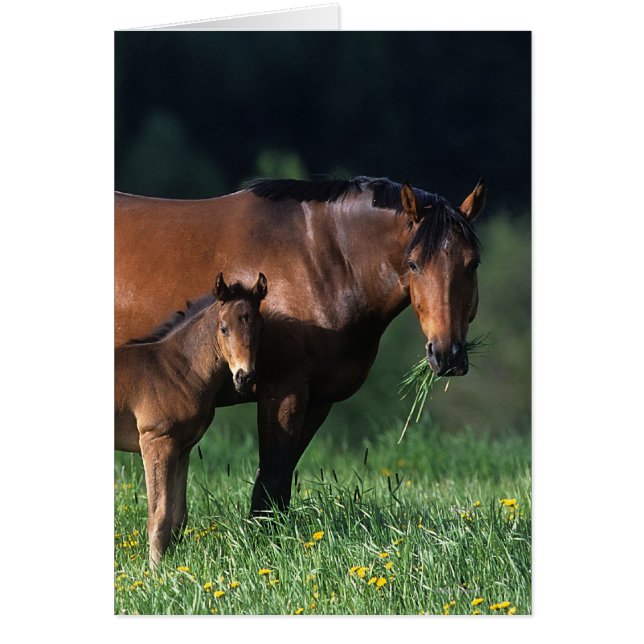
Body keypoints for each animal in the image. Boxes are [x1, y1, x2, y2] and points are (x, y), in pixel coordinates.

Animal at [115, 176, 485, 516]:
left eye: (473, 263)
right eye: (413, 264)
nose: (447, 354)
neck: (322, 259)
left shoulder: (318, 399)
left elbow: (280, 483)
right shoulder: (283, 389)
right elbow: (272, 478)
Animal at [115, 272, 267, 564]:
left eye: (260, 328)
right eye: (223, 328)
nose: (245, 377)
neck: (176, 368)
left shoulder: (182, 449)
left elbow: (178, 516)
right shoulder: (157, 442)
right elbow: (159, 515)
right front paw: (156, 571)